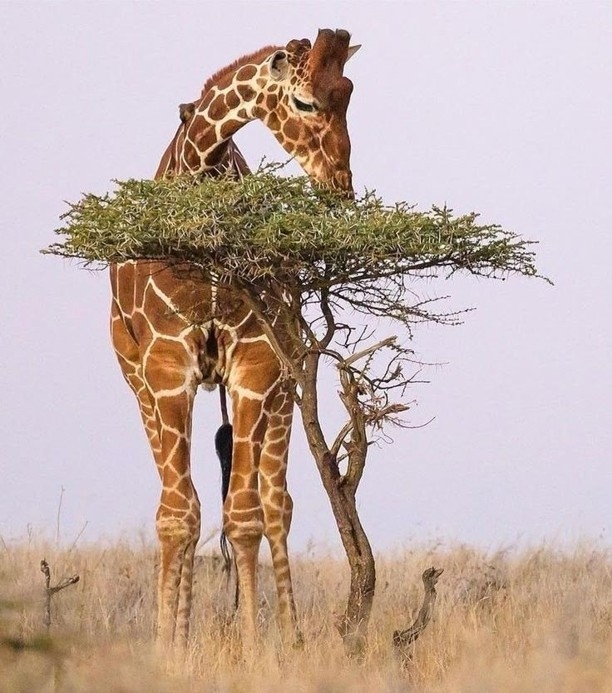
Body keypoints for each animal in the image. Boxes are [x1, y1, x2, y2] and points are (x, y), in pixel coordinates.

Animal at [109, 29, 359, 649]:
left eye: (348, 93)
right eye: (304, 102)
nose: (341, 185)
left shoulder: (255, 363)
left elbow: (245, 515)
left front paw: (258, 651)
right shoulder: (166, 367)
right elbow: (179, 516)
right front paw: (169, 649)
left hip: (284, 387)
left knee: (275, 503)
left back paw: (289, 636)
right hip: (138, 384)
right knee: (189, 506)